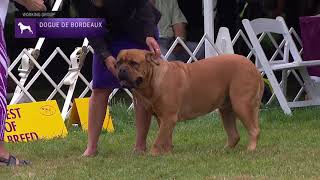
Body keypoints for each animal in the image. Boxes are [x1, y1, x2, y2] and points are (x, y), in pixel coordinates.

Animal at [116, 48, 264, 155]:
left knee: (254, 130)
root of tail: (253, 67)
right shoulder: (163, 119)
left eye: (134, 63)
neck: (153, 78)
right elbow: (166, 137)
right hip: (226, 109)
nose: (121, 69)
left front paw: (153, 154)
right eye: (118, 62)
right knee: (234, 135)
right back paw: (223, 150)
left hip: (241, 104)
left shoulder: (169, 117)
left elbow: (158, 140)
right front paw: (167, 153)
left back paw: (250, 149)